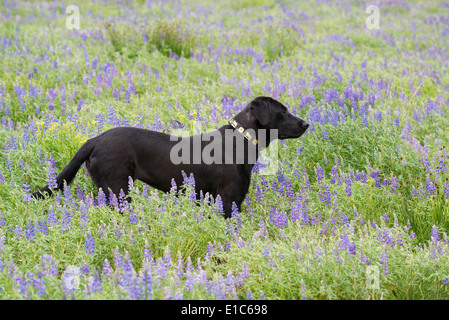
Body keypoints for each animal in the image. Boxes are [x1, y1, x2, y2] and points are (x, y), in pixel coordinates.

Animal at [32, 96, 308, 216]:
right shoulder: (229, 200)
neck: (241, 139)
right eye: (283, 112)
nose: (306, 124)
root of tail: (94, 140)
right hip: (118, 189)